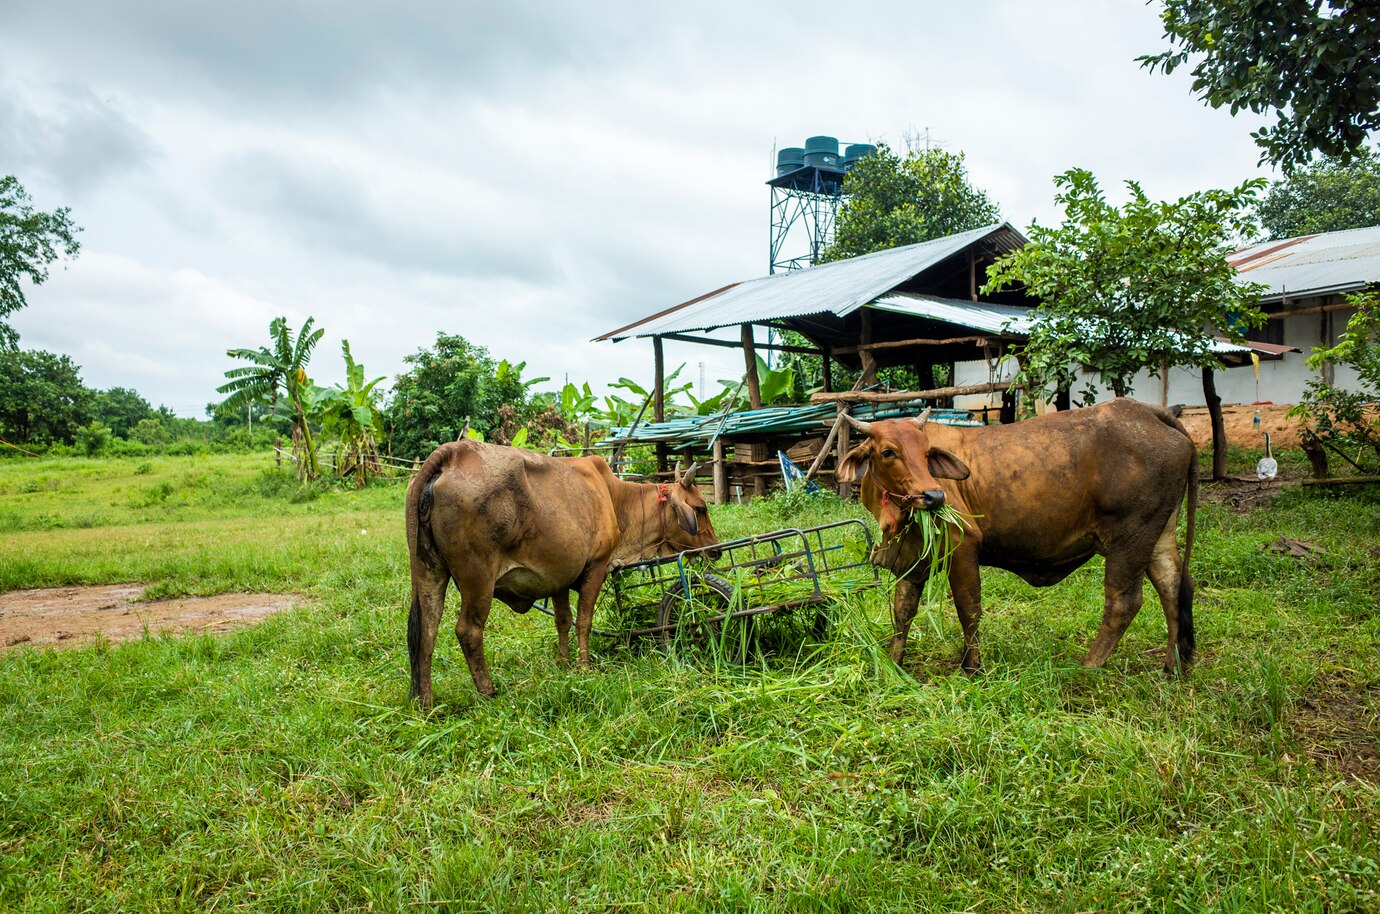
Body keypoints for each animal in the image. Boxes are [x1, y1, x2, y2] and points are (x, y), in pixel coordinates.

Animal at [402, 441, 717, 704]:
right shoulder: (596, 567)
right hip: (478, 578)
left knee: (426, 630)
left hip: (428, 570)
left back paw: (426, 702)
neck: (615, 498)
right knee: (468, 630)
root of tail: (453, 453)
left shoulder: (558, 578)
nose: (715, 550)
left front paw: (563, 664)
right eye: (700, 509)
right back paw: (487, 691)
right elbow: (584, 621)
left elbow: (563, 620)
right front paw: (584, 666)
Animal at [833, 403, 1203, 679]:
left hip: (1129, 538)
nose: (934, 497)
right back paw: (1171, 668)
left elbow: (968, 608)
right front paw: (894, 662)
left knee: (1124, 601)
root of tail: (1150, 411)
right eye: (887, 452)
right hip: (1157, 535)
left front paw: (970, 667)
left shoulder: (963, 545)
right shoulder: (914, 559)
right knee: (1174, 587)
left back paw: (1087, 667)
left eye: (926, 453)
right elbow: (903, 610)